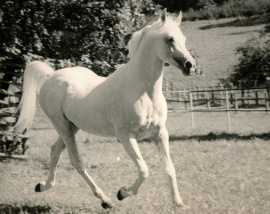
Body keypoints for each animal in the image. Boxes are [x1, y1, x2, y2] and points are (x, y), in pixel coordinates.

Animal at [14, 9, 195, 209]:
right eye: (169, 38)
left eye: (183, 38)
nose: (190, 65)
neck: (143, 91)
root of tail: (50, 76)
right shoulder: (126, 137)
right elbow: (144, 170)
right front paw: (122, 193)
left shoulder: (160, 134)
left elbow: (169, 169)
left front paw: (179, 203)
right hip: (62, 126)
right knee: (77, 162)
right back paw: (106, 200)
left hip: (71, 127)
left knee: (55, 151)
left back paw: (41, 186)